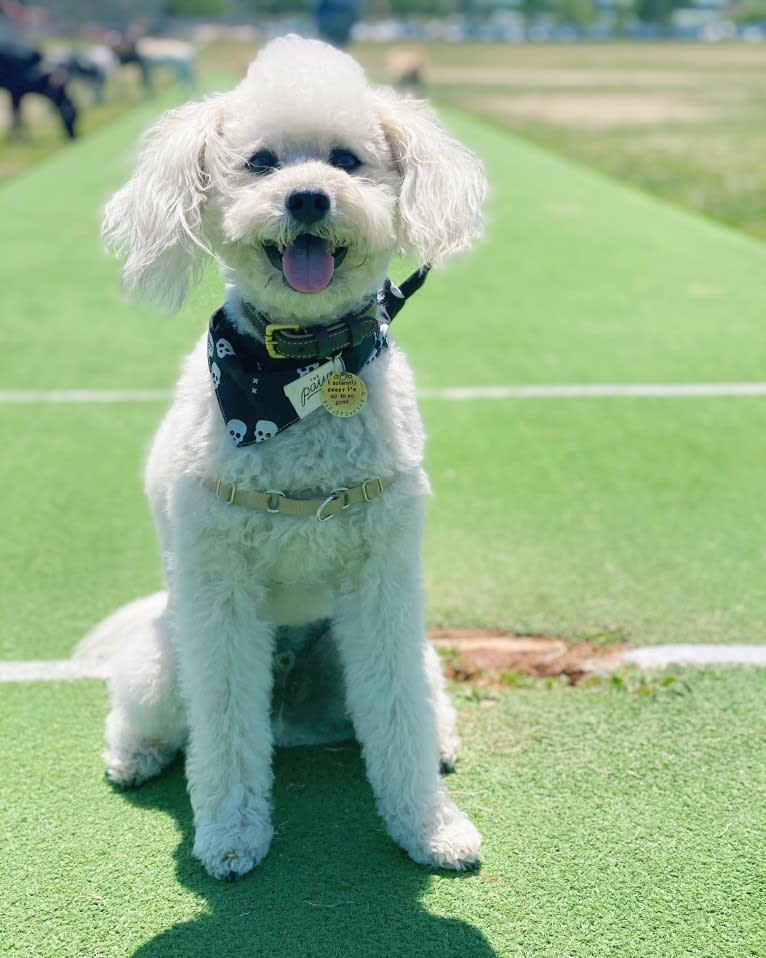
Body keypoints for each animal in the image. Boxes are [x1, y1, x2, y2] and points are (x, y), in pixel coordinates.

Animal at [94, 33, 486, 880]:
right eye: (261, 162)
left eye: (346, 159)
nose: (308, 197)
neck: (297, 374)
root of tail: (293, 722)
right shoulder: (220, 594)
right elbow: (223, 726)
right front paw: (232, 834)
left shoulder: (383, 583)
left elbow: (398, 717)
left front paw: (429, 827)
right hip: (163, 661)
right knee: (155, 719)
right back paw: (133, 754)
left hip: (403, 652)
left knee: (416, 704)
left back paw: (442, 742)